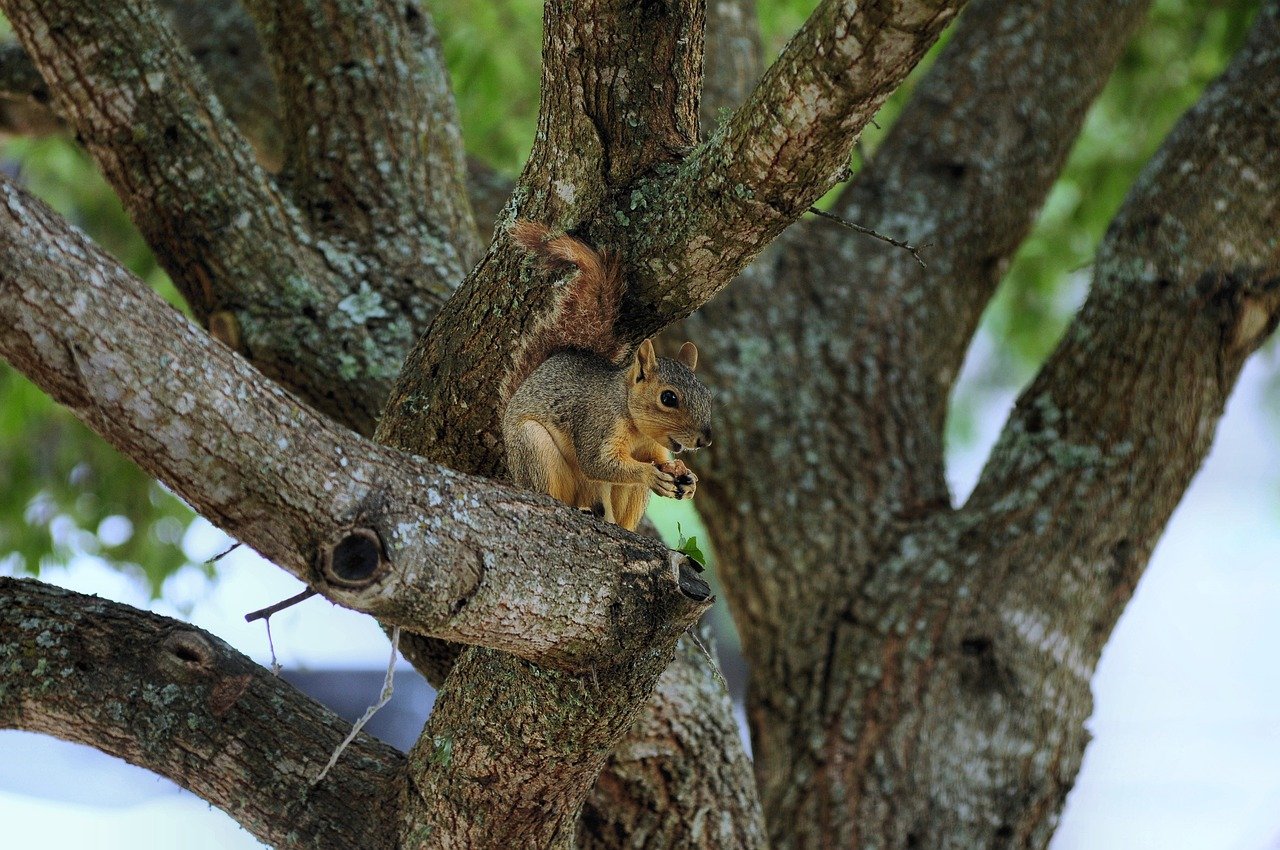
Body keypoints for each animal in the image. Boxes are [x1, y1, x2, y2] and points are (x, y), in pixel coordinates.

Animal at [502, 220, 713, 531]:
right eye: (668, 398)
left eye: (708, 396)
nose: (704, 440)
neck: (636, 425)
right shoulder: (598, 423)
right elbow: (598, 462)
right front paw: (651, 474)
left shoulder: (651, 447)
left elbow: (657, 459)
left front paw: (683, 474)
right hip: (533, 447)